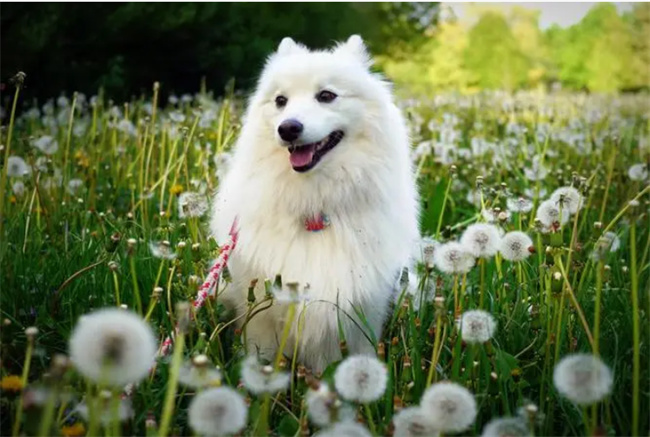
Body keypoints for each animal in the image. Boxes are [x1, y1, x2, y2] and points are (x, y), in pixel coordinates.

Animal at [210, 35, 418, 372]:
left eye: (326, 95)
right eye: (281, 101)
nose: (288, 128)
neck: (315, 205)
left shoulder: (362, 313)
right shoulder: (260, 315)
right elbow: (260, 358)